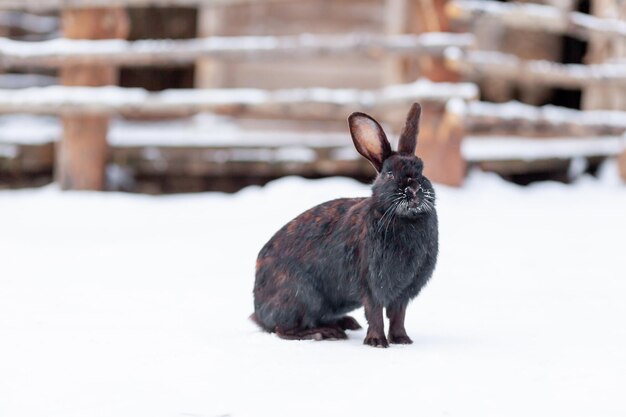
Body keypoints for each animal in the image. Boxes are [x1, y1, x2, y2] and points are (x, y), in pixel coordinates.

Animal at [251, 104, 436, 348]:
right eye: (390, 173)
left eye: (421, 170)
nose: (414, 189)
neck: (406, 219)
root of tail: (258, 311)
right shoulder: (372, 285)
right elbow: (375, 314)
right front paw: (377, 342)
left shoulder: (403, 294)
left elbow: (398, 316)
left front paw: (402, 340)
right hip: (301, 295)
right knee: (283, 329)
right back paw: (324, 333)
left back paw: (345, 323)